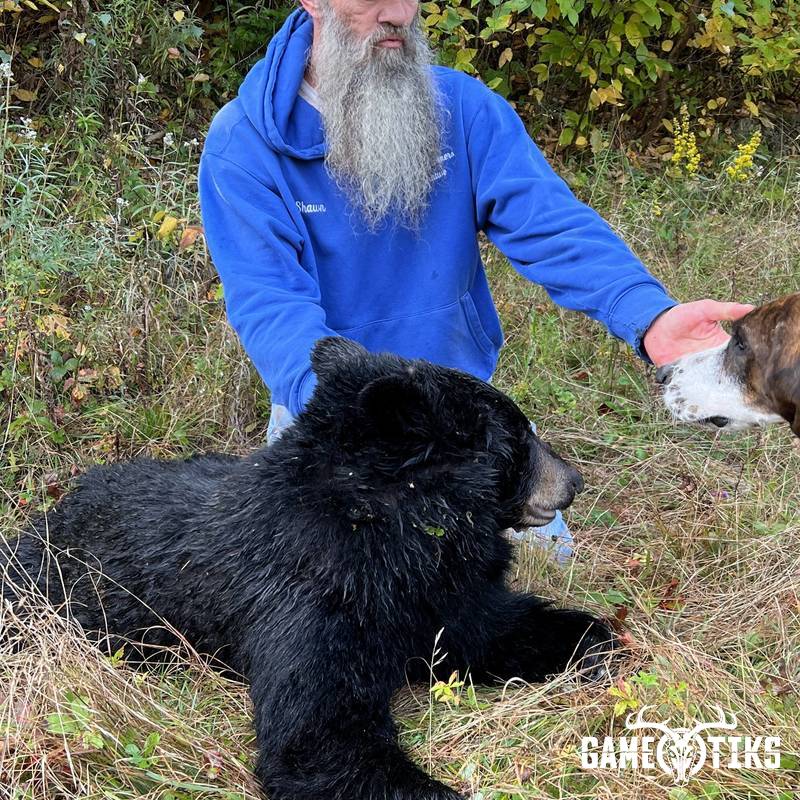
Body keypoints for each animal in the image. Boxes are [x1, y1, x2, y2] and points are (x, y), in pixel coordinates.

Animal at [1, 337, 616, 800]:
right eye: (520, 436)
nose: (574, 480)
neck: (385, 535)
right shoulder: (311, 597)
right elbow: (316, 737)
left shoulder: (435, 591)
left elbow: (486, 629)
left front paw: (593, 640)